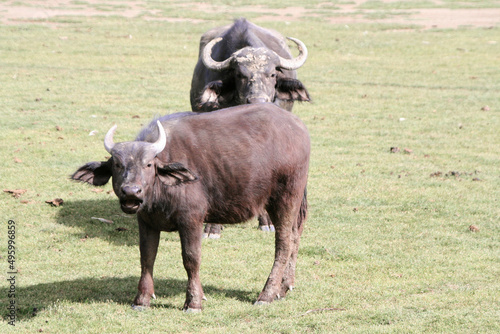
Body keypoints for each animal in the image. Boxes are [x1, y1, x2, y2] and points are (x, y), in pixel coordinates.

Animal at [71, 104, 308, 314]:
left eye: (148, 164)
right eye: (118, 165)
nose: (131, 191)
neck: (160, 191)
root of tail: (298, 127)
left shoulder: (191, 220)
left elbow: (191, 259)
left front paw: (193, 302)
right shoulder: (146, 222)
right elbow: (146, 257)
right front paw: (142, 300)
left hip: (286, 198)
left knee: (283, 244)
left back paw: (266, 295)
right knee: (295, 237)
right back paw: (283, 288)